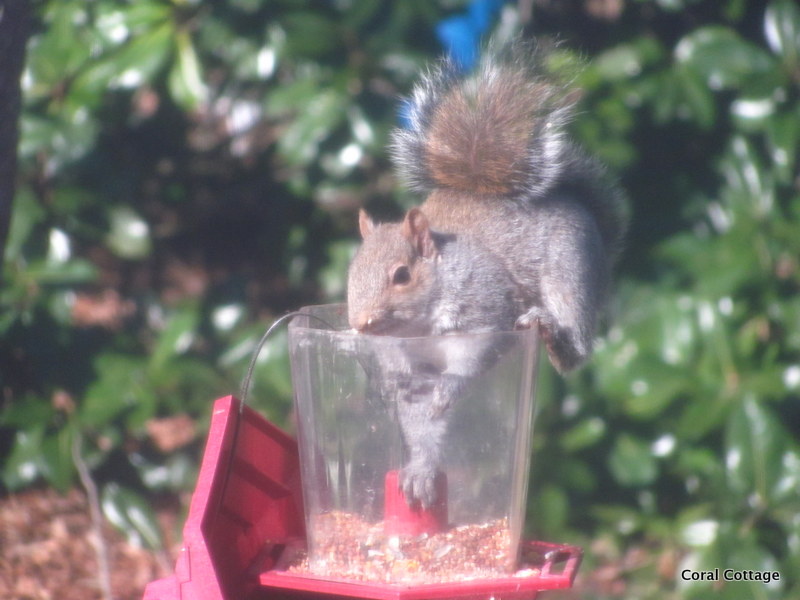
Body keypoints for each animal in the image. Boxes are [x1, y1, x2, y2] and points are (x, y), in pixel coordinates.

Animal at [346, 41, 627, 507]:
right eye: (350, 273)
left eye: (402, 275)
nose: (360, 324)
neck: (420, 326)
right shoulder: (410, 366)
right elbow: (420, 418)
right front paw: (421, 469)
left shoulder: (484, 309)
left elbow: (474, 358)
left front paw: (448, 390)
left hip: (570, 270)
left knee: (576, 347)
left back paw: (551, 332)